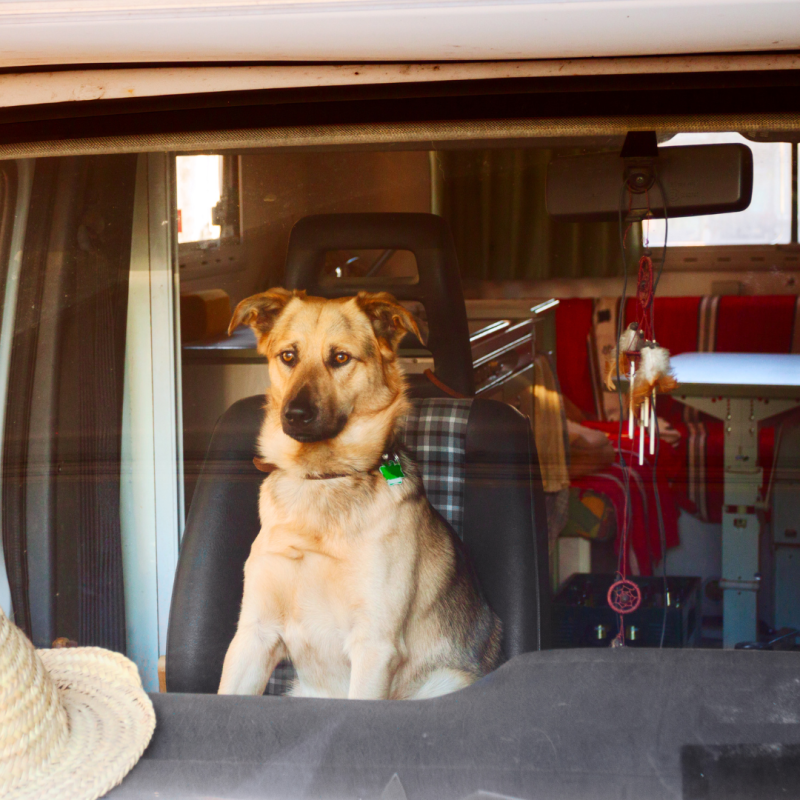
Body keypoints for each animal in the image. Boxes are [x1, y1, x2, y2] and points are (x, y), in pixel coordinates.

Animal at [217, 290, 500, 700]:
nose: (294, 414)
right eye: (288, 356)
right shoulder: (254, 636)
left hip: (445, 681)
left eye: (340, 358)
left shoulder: (374, 646)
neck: (322, 479)